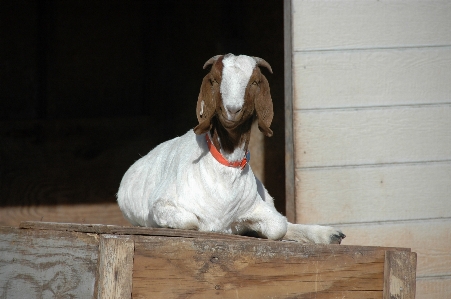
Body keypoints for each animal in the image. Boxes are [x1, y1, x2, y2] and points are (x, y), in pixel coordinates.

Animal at [117, 54, 346, 245]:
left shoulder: (257, 206)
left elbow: (278, 226)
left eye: (254, 82)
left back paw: (330, 234)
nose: (232, 110)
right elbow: (192, 221)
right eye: (215, 80)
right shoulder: (162, 205)